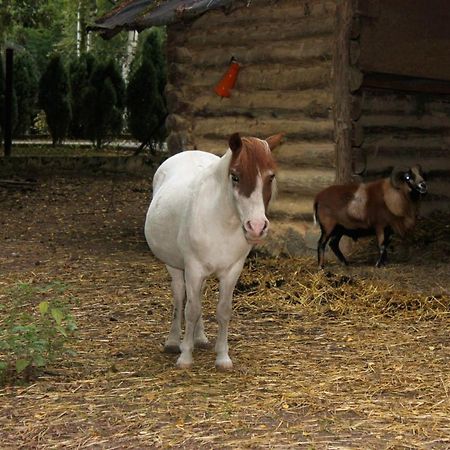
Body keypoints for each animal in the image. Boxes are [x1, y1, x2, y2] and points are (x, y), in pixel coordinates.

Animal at [144, 131, 284, 370]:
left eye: (271, 177)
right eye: (235, 176)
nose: (256, 227)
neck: (222, 223)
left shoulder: (232, 270)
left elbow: (223, 311)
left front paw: (223, 357)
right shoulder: (193, 268)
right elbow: (191, 310)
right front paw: (185, 356)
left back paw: (200, 338)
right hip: (175, 266)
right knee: (180, 297)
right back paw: (173, 342)